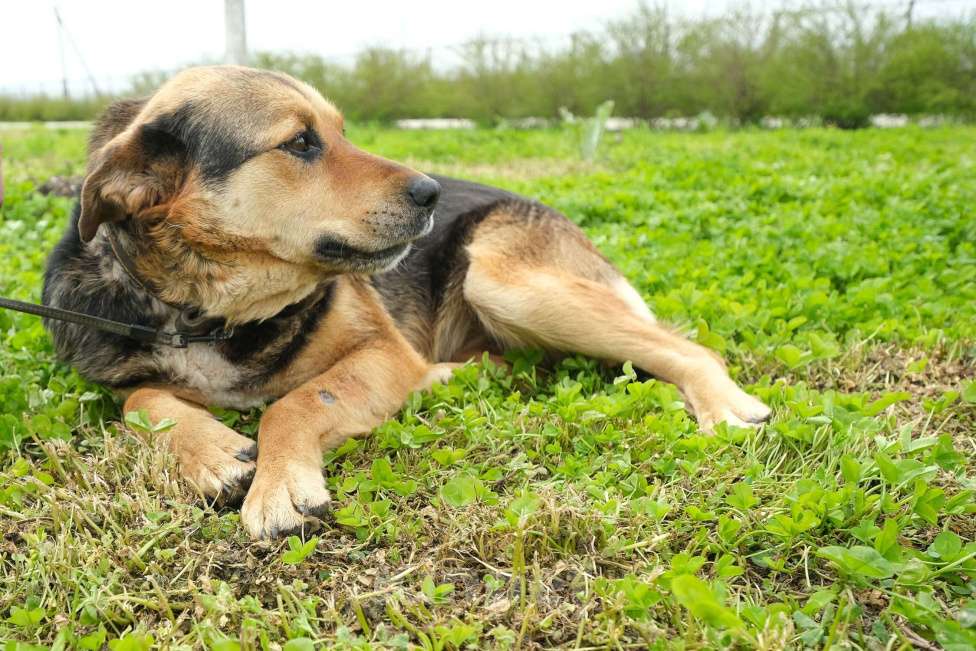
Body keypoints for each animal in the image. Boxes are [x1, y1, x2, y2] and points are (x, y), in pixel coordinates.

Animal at [43, 65, 772, 540]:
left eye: (341, 130)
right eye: (301, 142)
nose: (429, 193)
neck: (211, 314)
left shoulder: (382, 350)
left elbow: (295, 402)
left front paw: (279, 483)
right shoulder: (129, 369)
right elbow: (140, 400)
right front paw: (215, 453)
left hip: (501, 280)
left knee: (688, 348)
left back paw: (724, 407)